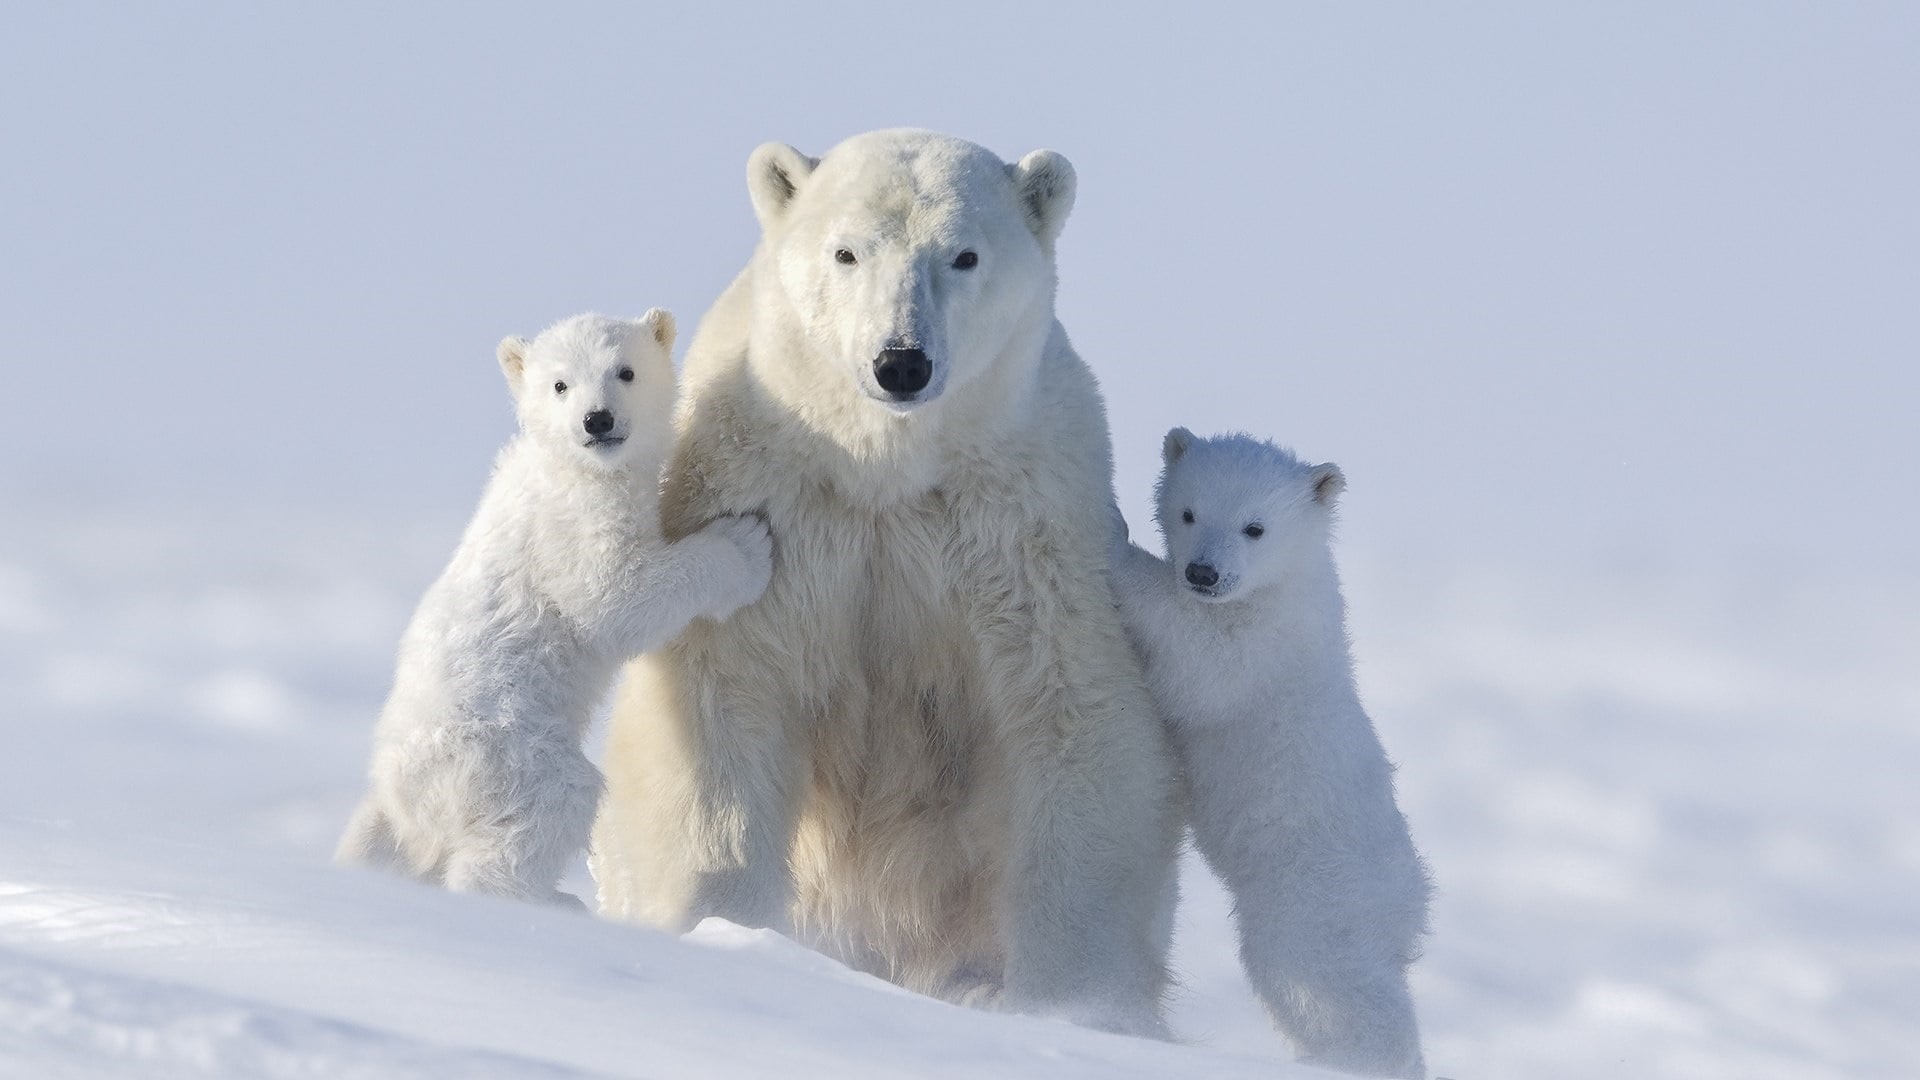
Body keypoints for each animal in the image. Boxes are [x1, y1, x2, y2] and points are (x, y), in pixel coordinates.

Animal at [336, 311, 774, 908]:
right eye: (560, 384)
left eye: (625, 370)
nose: (597, 420)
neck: (568, 466)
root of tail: (406, 800)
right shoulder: (572, 525)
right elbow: (615, 599)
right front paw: (745, 544)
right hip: (507, 753)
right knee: (549, 807)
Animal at [588, 130, 1182, 1037]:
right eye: (847, 251)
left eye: (964, 255)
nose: (901, 362)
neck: (884, 470)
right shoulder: (774, 509)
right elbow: (723, 704)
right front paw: (722, 928)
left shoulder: (1021, 531)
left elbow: (1074, 720)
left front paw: (1076, 1005)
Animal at [1108, 428, 1431, 1078]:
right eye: (1189, 512)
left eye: (1254, 527)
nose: (1203, 572)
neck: (1288, 585)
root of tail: (1410, 897)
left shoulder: (1261, 644)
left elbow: (1201, 662)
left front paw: (1110, 538)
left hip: (1313, 892)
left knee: (1318, 976)